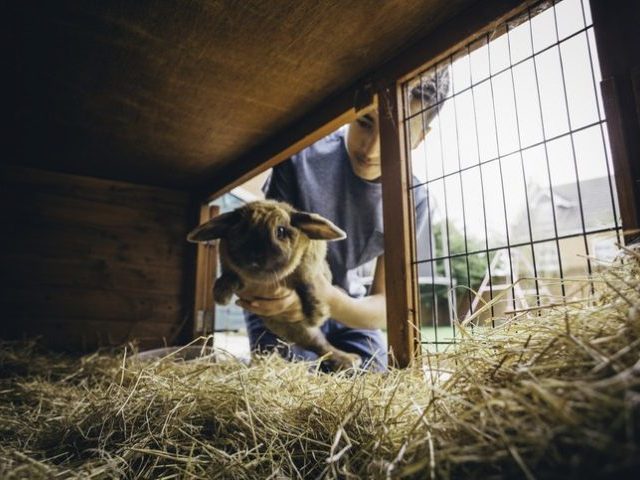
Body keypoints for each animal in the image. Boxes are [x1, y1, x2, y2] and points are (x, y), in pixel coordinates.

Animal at [188, 199, 362, 372]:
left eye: (281, 231)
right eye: (241, 229)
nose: (254, 256)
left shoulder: (310, 265)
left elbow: (307, 282)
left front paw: (316, 314)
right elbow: (229, 275)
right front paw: (221, 294)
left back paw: (351, 359)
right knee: (321, 346)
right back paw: (349, 361)